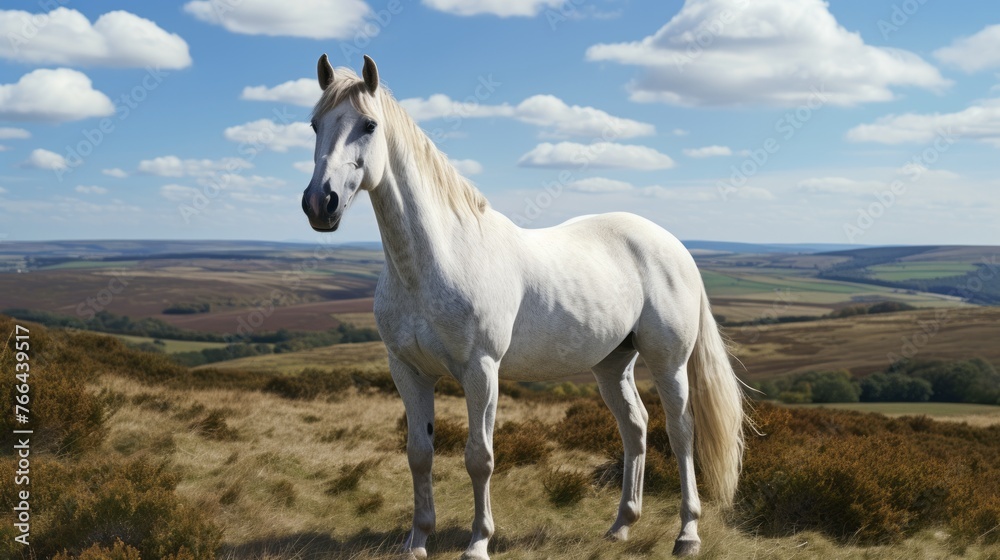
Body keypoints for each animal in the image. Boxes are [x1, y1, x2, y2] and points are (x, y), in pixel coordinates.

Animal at [300, 53, 748, 560]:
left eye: (369, 124)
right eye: (315, 124)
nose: (320, 203)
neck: (435, 260)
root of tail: (676, 247)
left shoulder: (481, 369)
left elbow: (479, 457)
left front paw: (478, 542)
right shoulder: (408, 370)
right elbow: (419, 454)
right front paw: (417, 541)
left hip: (668, 361)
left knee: (681, 430)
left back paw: (687, 533)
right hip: (613, 363)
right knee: (635, 427)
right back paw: (620, 526)